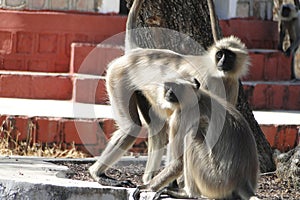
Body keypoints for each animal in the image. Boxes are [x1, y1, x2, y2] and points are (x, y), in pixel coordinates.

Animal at [89, 0, 251, 184]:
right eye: (220, 54)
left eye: (229, 56)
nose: (222, 61)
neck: (220, 75)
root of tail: (137, 52)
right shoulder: (205, 79)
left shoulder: (232, 84)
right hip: (117, 77)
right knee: (132, 127)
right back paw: (98, 173)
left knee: (158, 130)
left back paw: (149, 177)